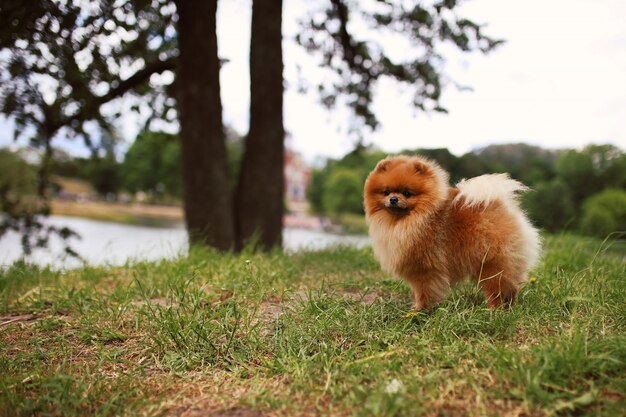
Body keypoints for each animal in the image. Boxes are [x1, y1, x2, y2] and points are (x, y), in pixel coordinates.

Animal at [364, 156, 540, 308]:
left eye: (407, 193)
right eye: (386, 192)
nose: (393, 199)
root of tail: (502, 206)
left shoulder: (426, 270)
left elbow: (424, 292)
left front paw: (419, 311)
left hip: (492, 262)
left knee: (498, 287)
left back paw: (494, 311)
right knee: (512, 287)